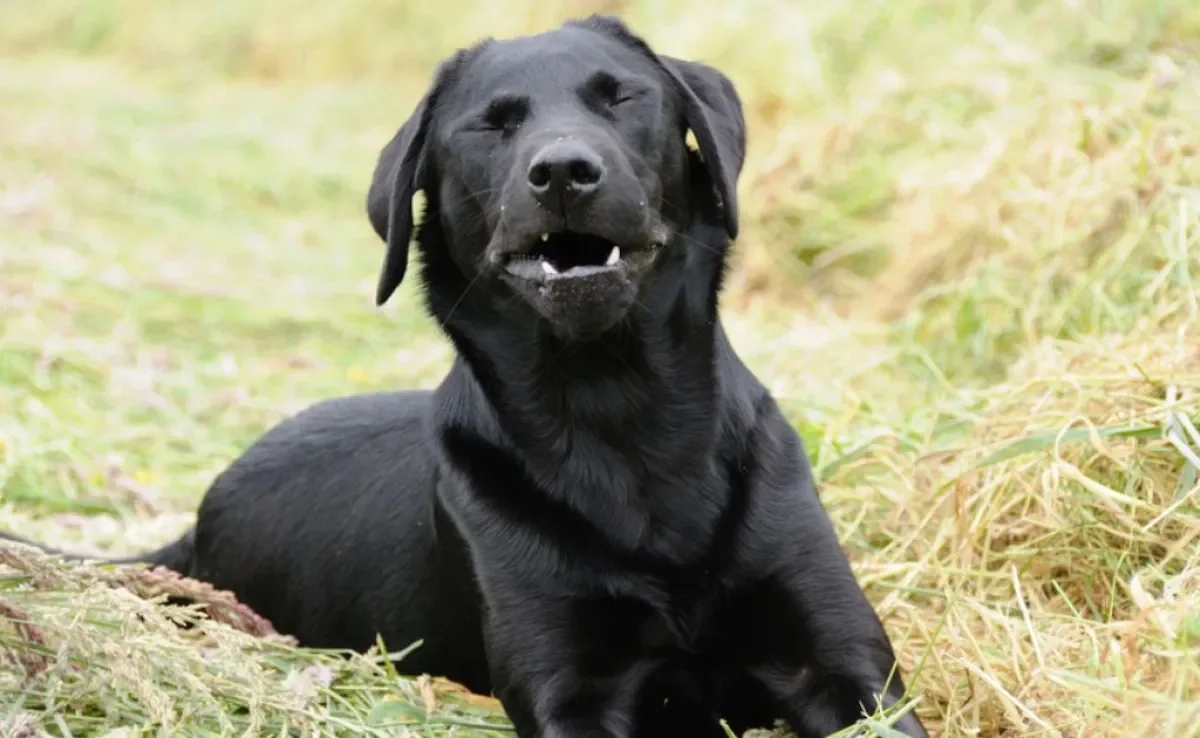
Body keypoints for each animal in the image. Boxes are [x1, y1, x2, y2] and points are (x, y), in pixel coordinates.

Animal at [2, 17, 926, 738]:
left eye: (622, 98)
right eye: (490, 127)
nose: (563, 172)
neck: (619, 415)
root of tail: (193, 531)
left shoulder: (845, 668)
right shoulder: (570, 690)